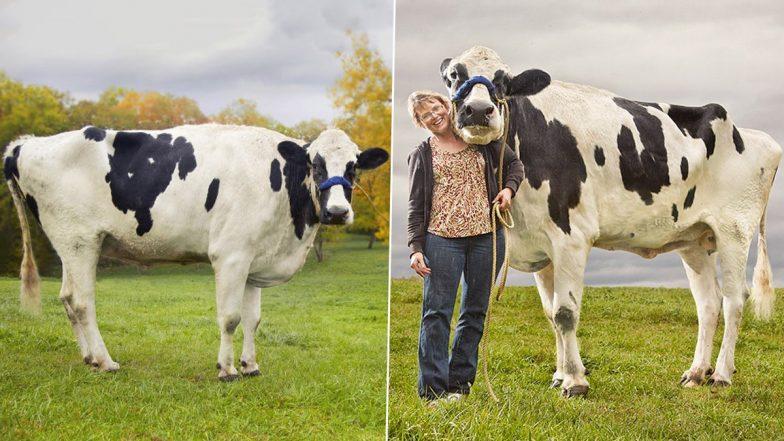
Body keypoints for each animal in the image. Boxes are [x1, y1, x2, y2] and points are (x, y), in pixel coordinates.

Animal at [3, 123, 388, 378]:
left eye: (354, 166)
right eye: (315, 163)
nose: (337, 212)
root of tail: (26, 144)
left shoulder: (253, 258)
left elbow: (253, 319)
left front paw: (251, 366)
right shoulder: (231, 255)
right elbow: (230, 317)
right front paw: (227, 369)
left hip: (71, 245)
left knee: (68, 298)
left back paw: (88, 358)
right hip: (80, 240)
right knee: (83, 302)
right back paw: (106, 361)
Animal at [438, 46, 780, 398]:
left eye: (503, 80)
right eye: (452, 76)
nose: (479, 111)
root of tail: (755, 135)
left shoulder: (571, 236)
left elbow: (565, 312)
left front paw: (575, 381)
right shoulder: (541, 243)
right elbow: (550, 313)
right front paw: (559, 376)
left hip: (733, 230)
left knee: (734, 300)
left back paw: (722, 374)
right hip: (694, 240)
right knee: (708, 303)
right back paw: (697, 373)